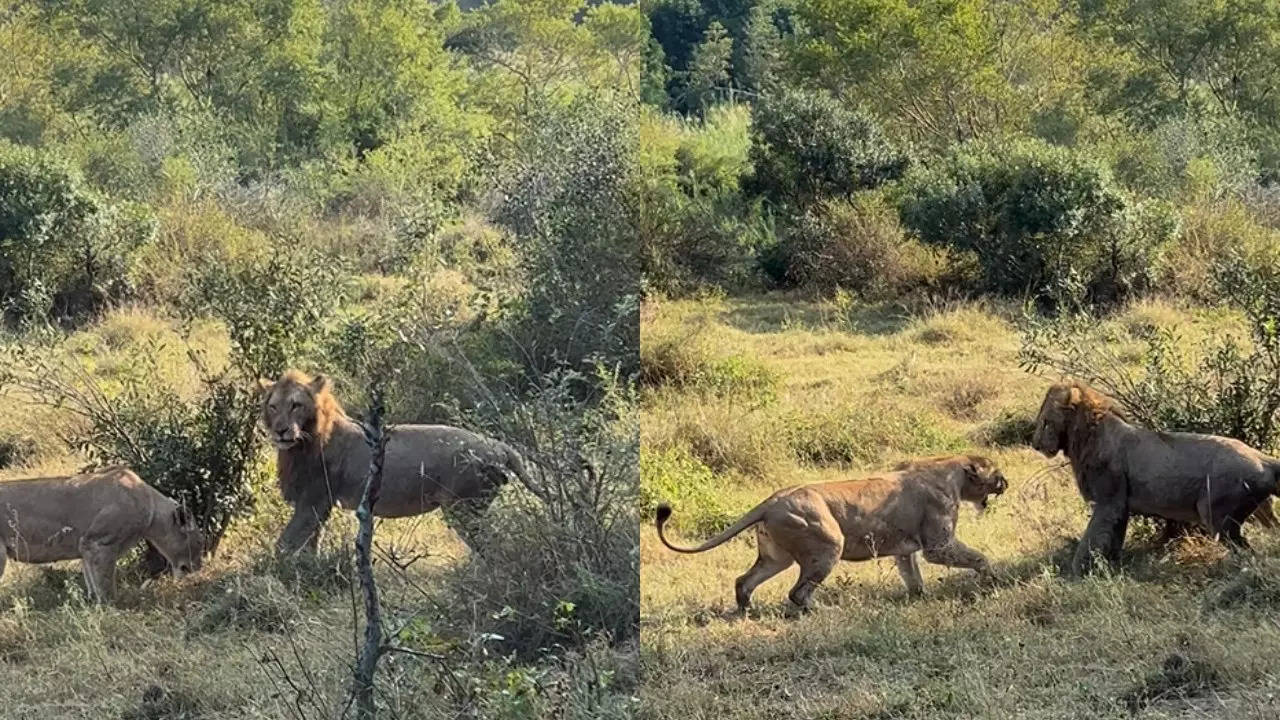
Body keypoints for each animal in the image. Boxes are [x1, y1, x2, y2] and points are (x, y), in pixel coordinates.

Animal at [0, 461, 202, 597]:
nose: (198, 567)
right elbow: (105, 585)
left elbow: (91, 582)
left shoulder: (86, 549)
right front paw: (111, 612)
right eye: (199, 541)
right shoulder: (99, 543)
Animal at [262, 366, 532, 550]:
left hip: (465, 507)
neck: (302, 443)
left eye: (296, 405)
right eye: (273, 407)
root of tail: (498, 445)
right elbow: (308, 544)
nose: (281, 430)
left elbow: (285, 544)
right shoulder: (318, 504)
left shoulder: (314, 500)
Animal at [655, 450, 1003, 607]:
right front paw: (991, 577)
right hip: (827, 545)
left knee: (744, 580)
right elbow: (976, 556)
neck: (952, 471)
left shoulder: (905, 550)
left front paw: (919, 598)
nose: (1007, 482)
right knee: (796, 593)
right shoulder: (937, 545)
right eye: (996, 473)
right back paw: (818, 609)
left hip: (776, 557)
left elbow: (912, 575)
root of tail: (772, 500)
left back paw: (746, 609)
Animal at [1034, 379, 1274, 573]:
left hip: (1218, 516)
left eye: (1045, 422)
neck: (1084, 435)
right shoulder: (1121, 507)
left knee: (1246, 551)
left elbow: (1090, 540)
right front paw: (1112, 566)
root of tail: (1263, 459)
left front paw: (1076, 573)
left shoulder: (1108, 502)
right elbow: (1114, 538)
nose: (1035, 445)